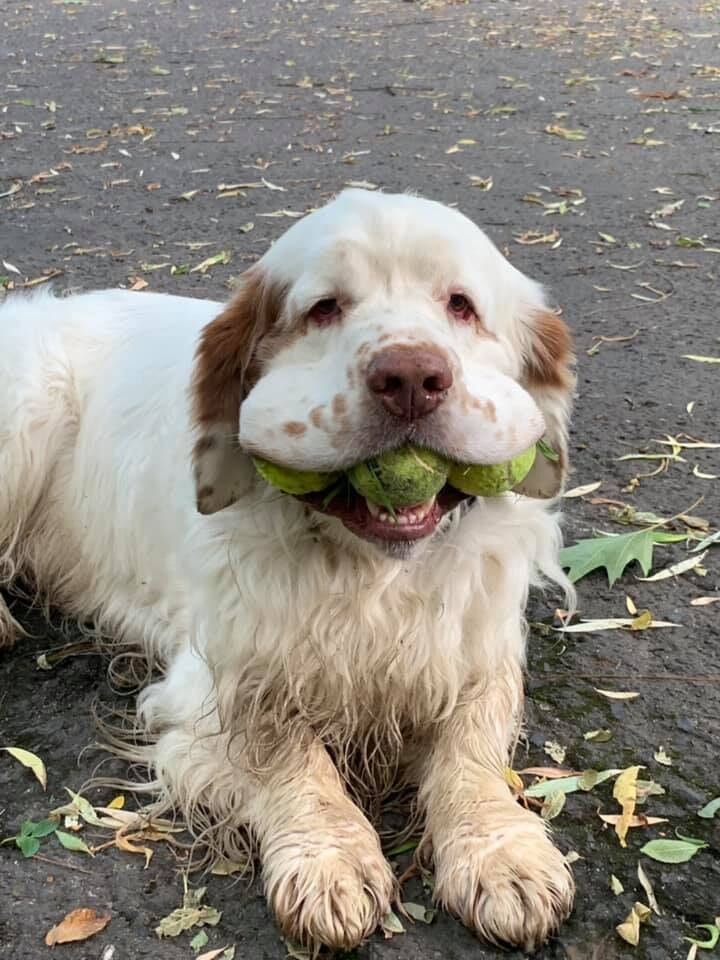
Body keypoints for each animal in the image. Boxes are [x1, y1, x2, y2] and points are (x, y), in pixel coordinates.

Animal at [0, 189, 572, 952]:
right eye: (324, 308)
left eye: (461, 304)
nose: (410, 379)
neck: (372, 573)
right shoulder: (214, 680)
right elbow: (281, 748)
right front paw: (331, 858)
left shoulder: (476, 646)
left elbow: (472, 746)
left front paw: (504, 854)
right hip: (25, 411)